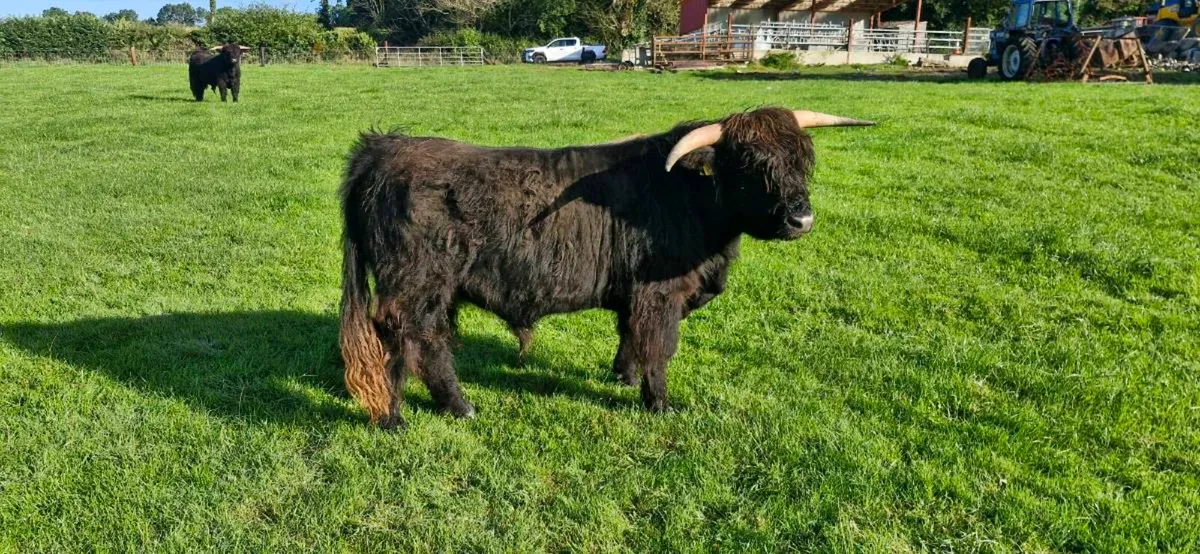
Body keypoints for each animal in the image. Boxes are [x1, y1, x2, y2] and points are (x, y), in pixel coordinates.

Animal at [338, 107, 873, 429]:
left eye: (801, 160)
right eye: (748, 165)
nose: (801, 219)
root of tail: (384, 147)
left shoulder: (635, 292)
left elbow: (630, 337)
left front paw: (624, 378)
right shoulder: (660, 294)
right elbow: (659, 347)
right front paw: (659, 404)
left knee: (413, 342)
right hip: (418, 282)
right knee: (414, 338)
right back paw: (431, 410)